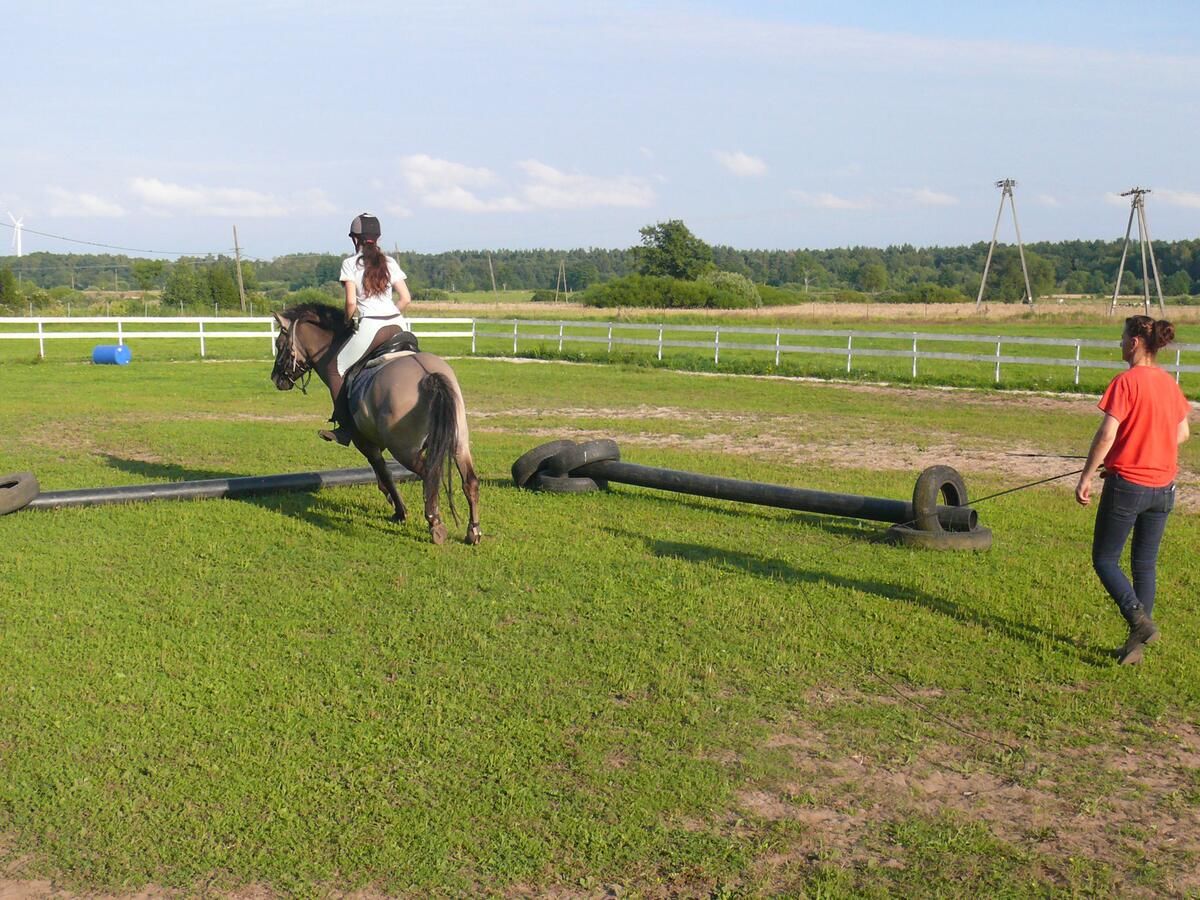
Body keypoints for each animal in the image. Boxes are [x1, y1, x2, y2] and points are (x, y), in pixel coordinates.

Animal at [270, 303, 480, 547]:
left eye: (280, 345)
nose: (275, 378)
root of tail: (429, 375)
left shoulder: (365, 442)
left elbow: (384, 474)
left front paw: (400, 511)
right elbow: (383, 476)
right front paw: (395, 506)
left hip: (404, 449)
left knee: (429, 476)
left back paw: (435, 524)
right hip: (459, 443)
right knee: (469, 481)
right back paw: (473, 532)